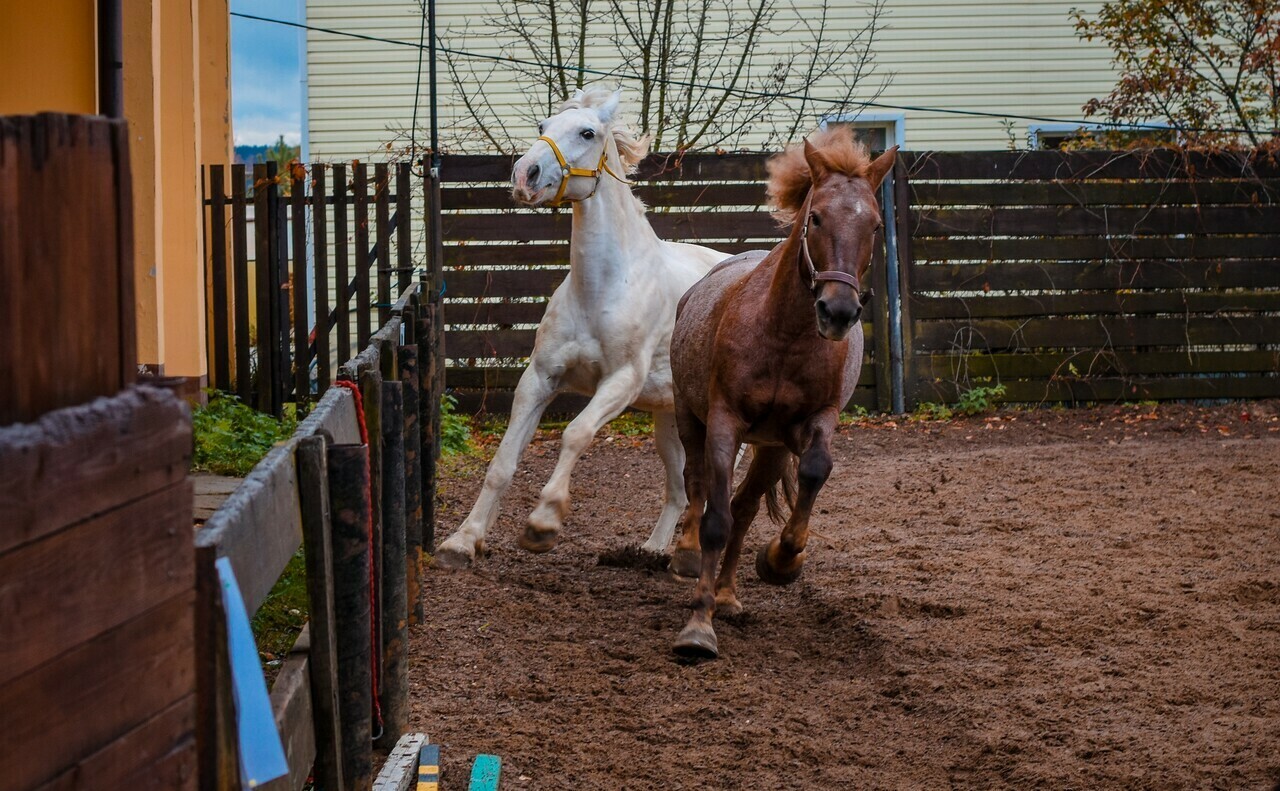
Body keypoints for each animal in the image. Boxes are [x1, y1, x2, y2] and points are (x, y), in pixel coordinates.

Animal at [432, 87, 727, 565]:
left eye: (587, 132)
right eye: (543, 126)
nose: (525, 175)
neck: (602, 287)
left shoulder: (620, 381)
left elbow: (576, 434)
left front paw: (542, 524)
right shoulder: (539, 379)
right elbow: (502, 462)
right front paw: (463, 540)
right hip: (669, 417)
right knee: (680, 488)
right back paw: (653, 550)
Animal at [665, 129, 896, 655]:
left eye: (874, 225)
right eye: (816, 217)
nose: (838, 311)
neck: (785, 333)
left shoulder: (813, 422)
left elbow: (813, 472)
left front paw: (781, 561)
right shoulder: (724, 421)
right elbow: (714, 518)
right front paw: (697, 627)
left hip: (769, 448)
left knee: (745, 508)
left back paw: (727, 595)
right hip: (690, 416)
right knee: (696, 484)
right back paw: (686, 554)